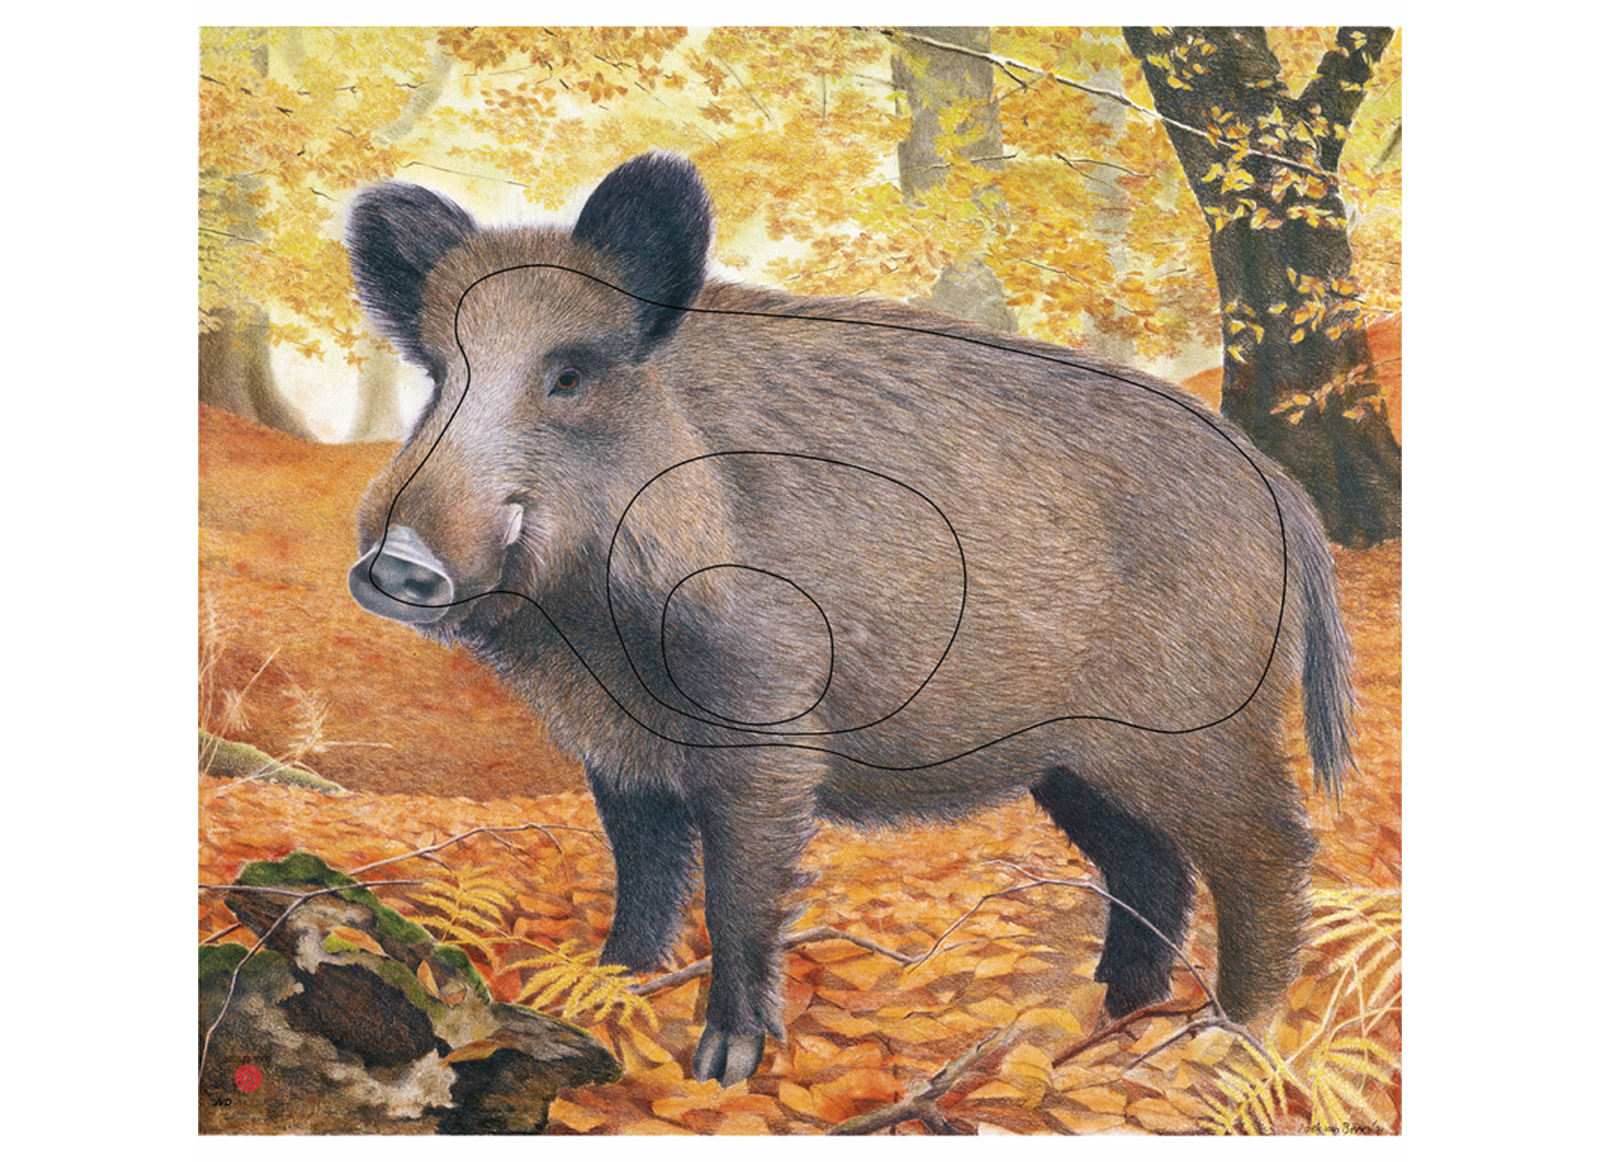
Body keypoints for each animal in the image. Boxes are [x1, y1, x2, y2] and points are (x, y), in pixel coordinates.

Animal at [346, 152, 1354, 1085]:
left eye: (567, 376)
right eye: (437, 376)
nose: (398, 563)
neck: (593, 632)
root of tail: (1285, 494)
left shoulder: (767, 724)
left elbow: (740, 892)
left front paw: (723, 1068)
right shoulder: (617, 748)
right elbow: (643, 880)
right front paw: (596, 997)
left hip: (1204, 725)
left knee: (1273, 851)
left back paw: (1225, 1043)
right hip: (1074, 760)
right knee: (1151, 867)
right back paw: (1107, 1023)